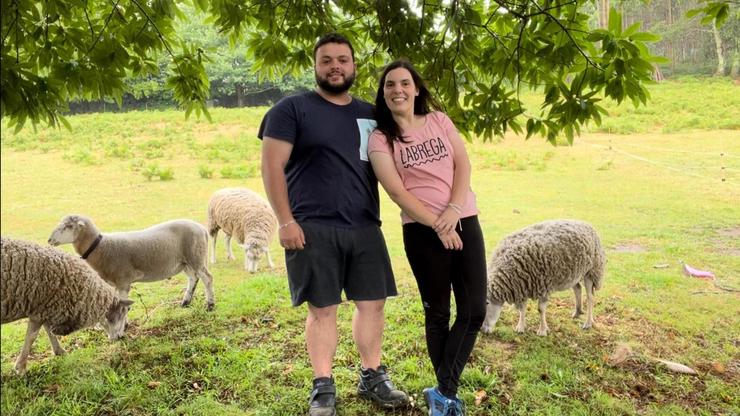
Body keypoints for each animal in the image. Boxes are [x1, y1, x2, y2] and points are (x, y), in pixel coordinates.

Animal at [1, 237, 133, 374]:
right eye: (121, 314)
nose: (121, 337)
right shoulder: (39, 308)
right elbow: (32, 337)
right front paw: (21, 367)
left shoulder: (45, 307)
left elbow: (48, 330)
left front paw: (59, 351)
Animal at [47, 216, 215, 310]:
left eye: (68, 226)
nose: (49, 240)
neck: (101, 247)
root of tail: (201, 228)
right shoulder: (114, 283)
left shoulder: (123, 280)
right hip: (185, 261)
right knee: (193, 278)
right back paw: (185, 302)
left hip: (195, 256)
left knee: (207, 278)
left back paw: (210, 305)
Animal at [480, 219, 608, 336]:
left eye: (486, 303)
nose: (482, 330)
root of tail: (585, 223)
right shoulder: (523, 284)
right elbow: (522, 308)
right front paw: (520, 327)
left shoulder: (542, 285)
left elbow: (540, 309)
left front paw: (542, 330)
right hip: (573, 273)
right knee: (578, 289)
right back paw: (577, 312)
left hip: (591, 271)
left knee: (590, 297)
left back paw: (588, 323)